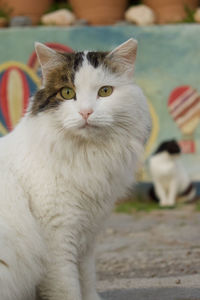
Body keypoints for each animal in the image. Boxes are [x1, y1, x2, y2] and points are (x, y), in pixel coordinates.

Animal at [0, 39, 150, 300]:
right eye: (67, 93)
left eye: (105, 91)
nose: (86, 112)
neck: (86, 156)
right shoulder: (57, 238)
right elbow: (68, 287)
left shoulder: (86, 238)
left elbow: (87, 279)